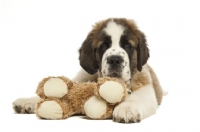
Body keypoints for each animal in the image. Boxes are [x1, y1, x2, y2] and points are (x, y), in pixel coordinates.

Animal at [13, 18, 165, 123]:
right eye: (103, 46)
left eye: (127, 46)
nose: (115, 60)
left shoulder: (145, 87)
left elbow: (137, 98)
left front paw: (126, 109)